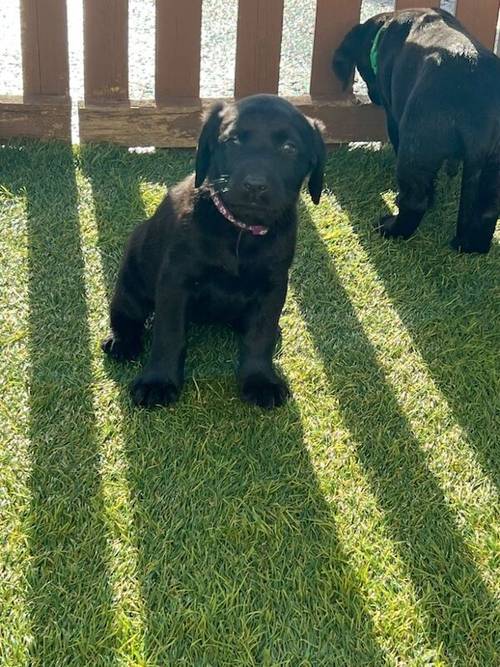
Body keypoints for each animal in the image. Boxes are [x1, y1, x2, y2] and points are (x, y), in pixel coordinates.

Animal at [103, 93, 326, 408]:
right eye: (233, 141)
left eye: (289, 148)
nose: (254, 185)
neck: (239, 232)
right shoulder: (175, 281)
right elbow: (169, 333)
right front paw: (158, 381)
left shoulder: (273, 285)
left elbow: (260, 334)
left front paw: (260, 380)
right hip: (133, 277)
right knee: (126, 312)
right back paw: (122, 342)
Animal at [332, 7, 500, 253]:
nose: (373, 97)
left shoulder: (394, 118)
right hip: (493, 164)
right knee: (488, 210)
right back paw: (476, 246)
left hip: (416, 148)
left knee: (415, 201)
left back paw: (391, 229)